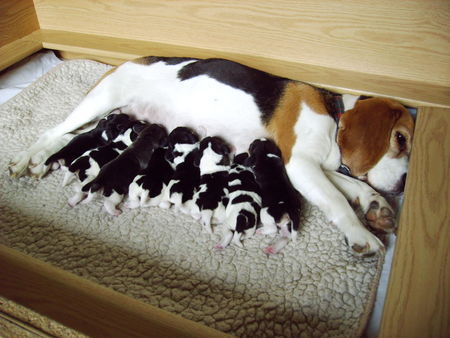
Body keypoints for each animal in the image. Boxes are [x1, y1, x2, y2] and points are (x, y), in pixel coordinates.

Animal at [7, 56, 414, 255]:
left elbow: (349, 186)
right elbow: (338, 201)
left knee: (72, 137)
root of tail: (129, 60)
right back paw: (27, 158)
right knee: (53, 132)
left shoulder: (315, 166)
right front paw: (360, 234)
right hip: (101, 101)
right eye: (400, 139)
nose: (405, 183)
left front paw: (376, 205)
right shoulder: (299, 165)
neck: (334, 113)